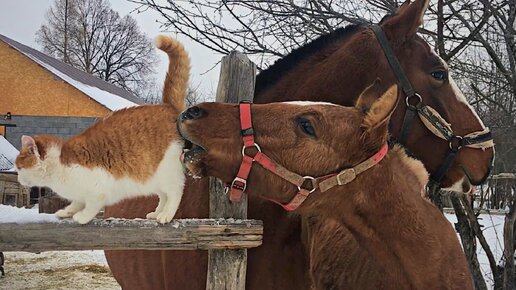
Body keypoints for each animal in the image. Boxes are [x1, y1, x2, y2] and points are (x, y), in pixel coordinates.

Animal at [15, 35, 191, 224]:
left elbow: (91, 205)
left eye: (19, 168)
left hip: (167, 172)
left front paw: (81, 217)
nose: (18, 178)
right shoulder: (79, 194)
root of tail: (167, 106)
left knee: (175, 192)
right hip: (153, 178)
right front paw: (67, 211)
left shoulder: (97, 189)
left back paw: (166, 214)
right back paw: (157, 213)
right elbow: (76, 202)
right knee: (163, 195)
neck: (58, 164)